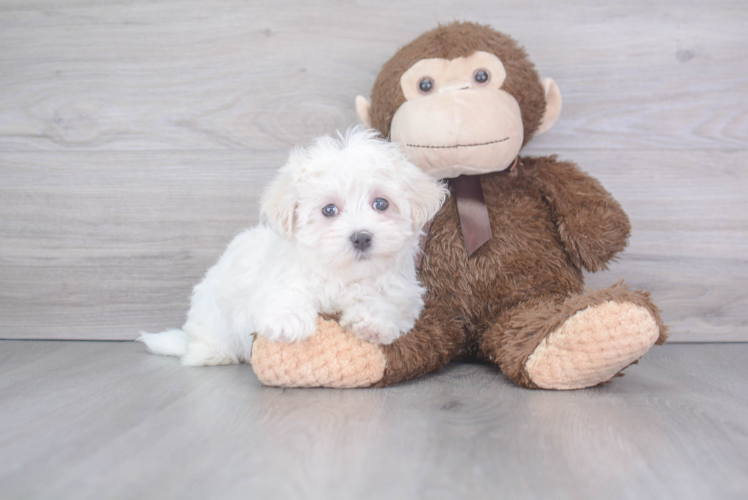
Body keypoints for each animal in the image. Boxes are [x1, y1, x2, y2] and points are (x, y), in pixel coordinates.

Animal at [138, 127, 448, 366]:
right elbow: (285, 292)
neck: (345, 276)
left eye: (381, 203)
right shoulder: (279, 277)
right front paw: (288, 320)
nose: (361, 237)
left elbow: (388, 304)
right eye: (329, 210)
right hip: (211, 313)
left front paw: (372, 321)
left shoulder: (403, 294)